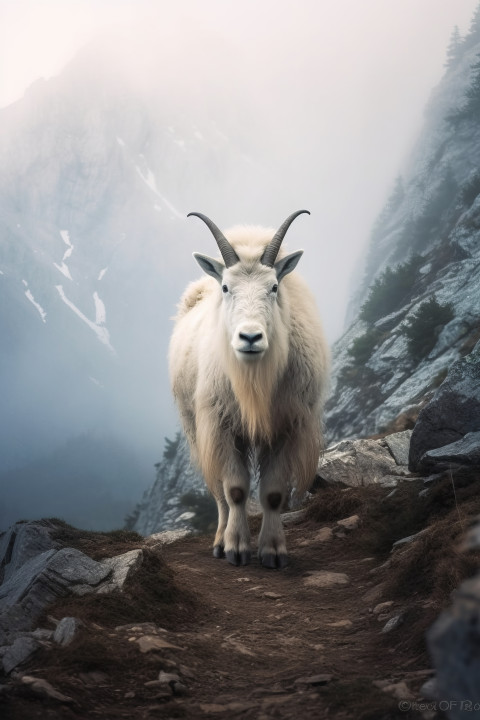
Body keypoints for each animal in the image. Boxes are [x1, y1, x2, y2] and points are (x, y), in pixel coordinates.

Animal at [169, 211, 329, 568]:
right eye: (227, 287)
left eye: (274, 287)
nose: (250, 337)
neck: (254, 379)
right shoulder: (222, 424)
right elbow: (236, 490)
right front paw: (236, 548)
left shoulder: (286, 425)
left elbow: (273, 492)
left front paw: (273, 550)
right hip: (195, 426)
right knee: (218, 492)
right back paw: (219, 540)